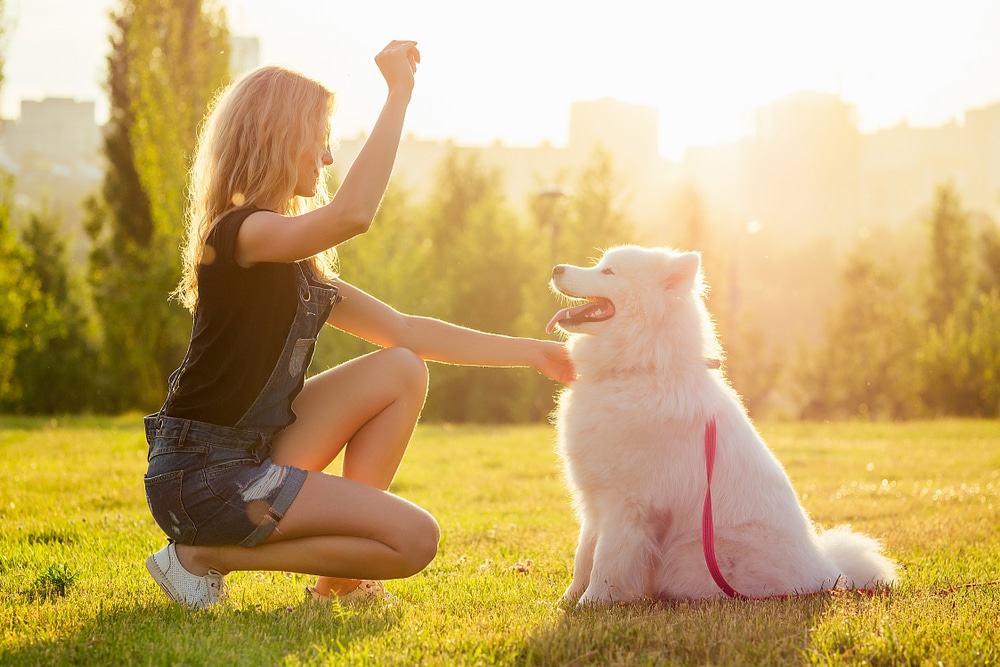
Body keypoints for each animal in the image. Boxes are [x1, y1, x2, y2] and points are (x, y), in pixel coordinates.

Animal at [552, 247, 896, 604]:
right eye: (600, 264)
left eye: (608, 272)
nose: (556, 268)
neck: (639, 370)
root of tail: (831, 576)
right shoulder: (595, 499)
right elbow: (584, 554)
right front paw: (567, 600)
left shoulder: (629, 504)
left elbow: (606, 562)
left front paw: (592, 603)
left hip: (690, 556)